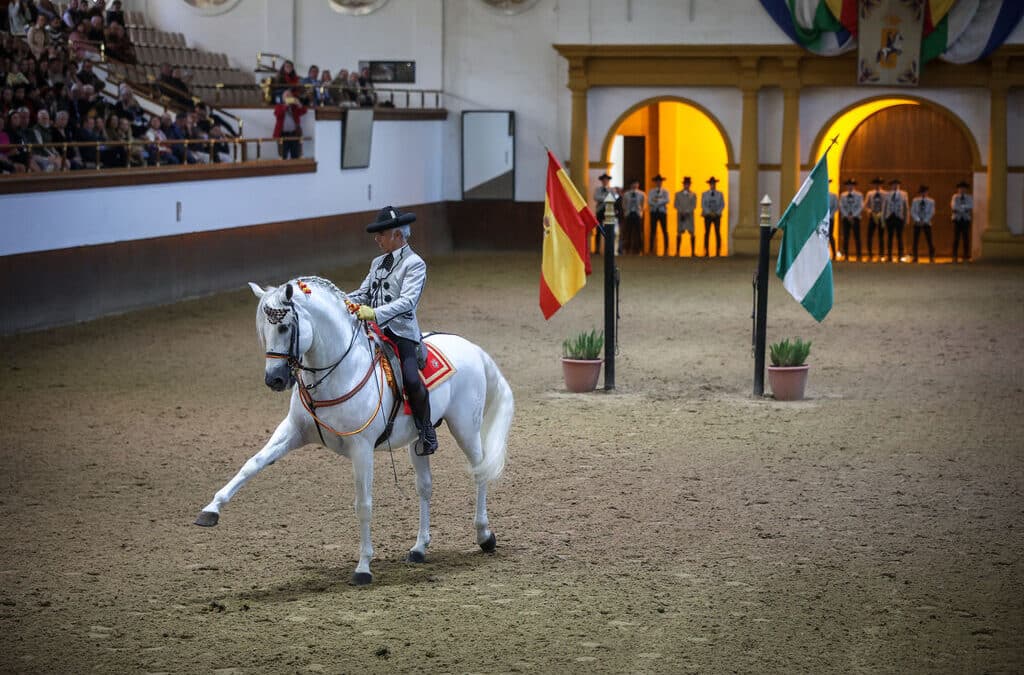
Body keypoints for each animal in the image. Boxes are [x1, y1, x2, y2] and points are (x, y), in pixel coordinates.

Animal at [193, 276, 512, 581]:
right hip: (418, 442)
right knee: (425, 486)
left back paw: (485, 536)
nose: (274, 380)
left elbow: (363, 505)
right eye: (263, 330)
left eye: (284, 327)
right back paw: (419, 548)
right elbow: (252, 463)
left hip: (465, 427)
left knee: (480, 470)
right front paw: (210, 510)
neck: (337, 374)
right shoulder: (292, 431)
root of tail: (471, 347)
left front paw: (363, 568)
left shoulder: (361, 449)